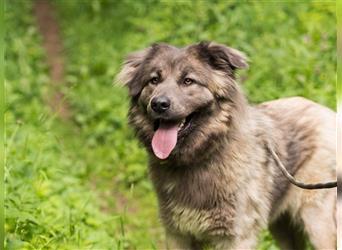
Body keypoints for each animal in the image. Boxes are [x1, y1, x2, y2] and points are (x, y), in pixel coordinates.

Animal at [116, 42, 336, 249]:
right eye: (154, 80)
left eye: (188, 81)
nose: (159, 104)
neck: (202, 156)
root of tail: (328, 112)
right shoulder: (177, 235)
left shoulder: (236, 238)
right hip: (282, 228)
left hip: (317, 223)